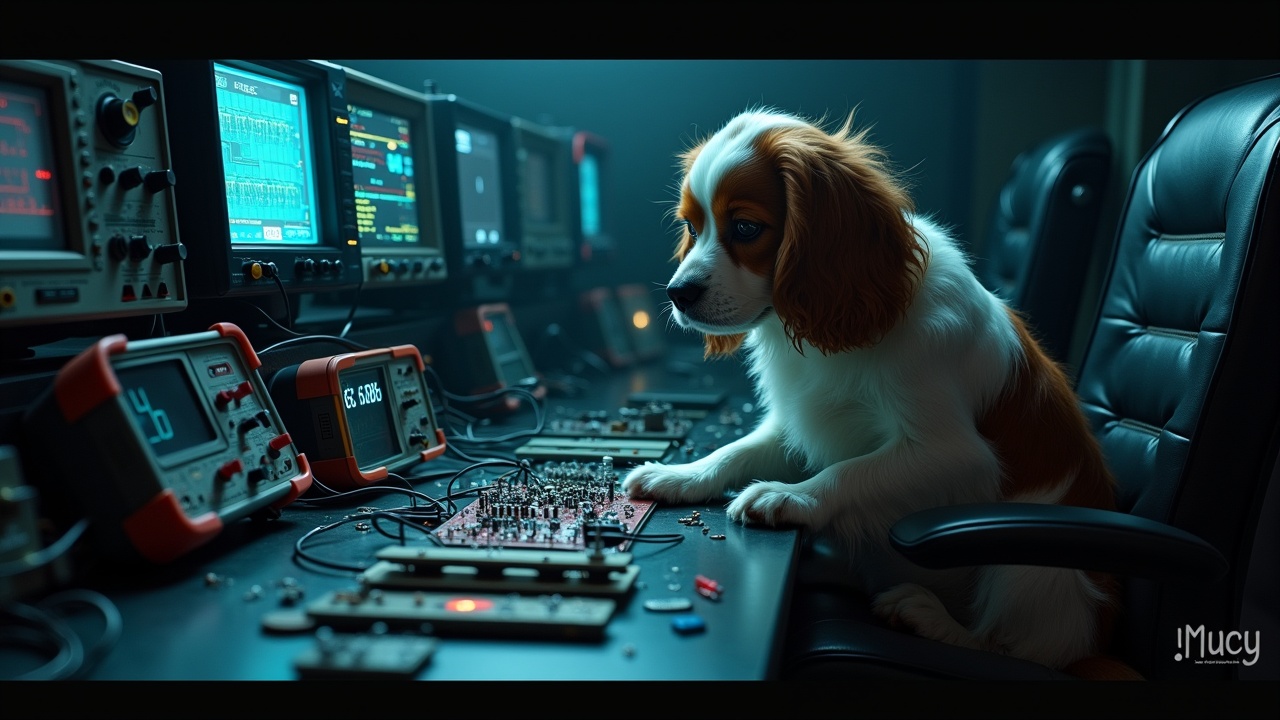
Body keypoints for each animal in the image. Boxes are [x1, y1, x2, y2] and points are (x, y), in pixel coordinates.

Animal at [622, 106, 1131, 671]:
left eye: (746, 227)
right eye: (692, 226)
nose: (677, 293)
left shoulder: (953, 453)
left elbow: (851, 471)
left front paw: (789, 495)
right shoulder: (799, 424)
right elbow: (736, 451)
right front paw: (681, 475)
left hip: (1031, 571)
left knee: (1022, 648)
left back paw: (929, 618)